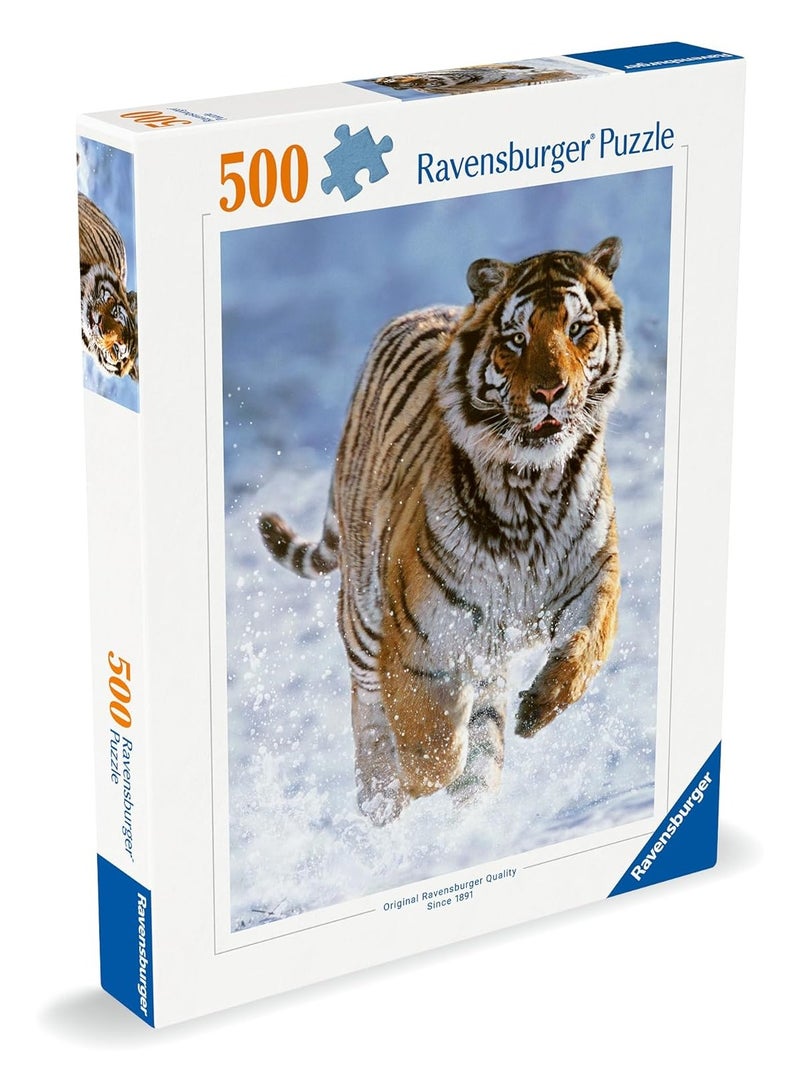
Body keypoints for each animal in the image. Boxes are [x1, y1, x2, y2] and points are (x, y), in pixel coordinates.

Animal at [260, 238, 625, 826]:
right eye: (516, 339)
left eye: (577, 329)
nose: (551, 392)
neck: (533, 488)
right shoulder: (414, 640)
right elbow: (429, 747)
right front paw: (414, 782)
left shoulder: (594, 575)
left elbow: (587, 645)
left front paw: (537, 709)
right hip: (363, 617)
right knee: (368, 710)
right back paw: (380, 802)